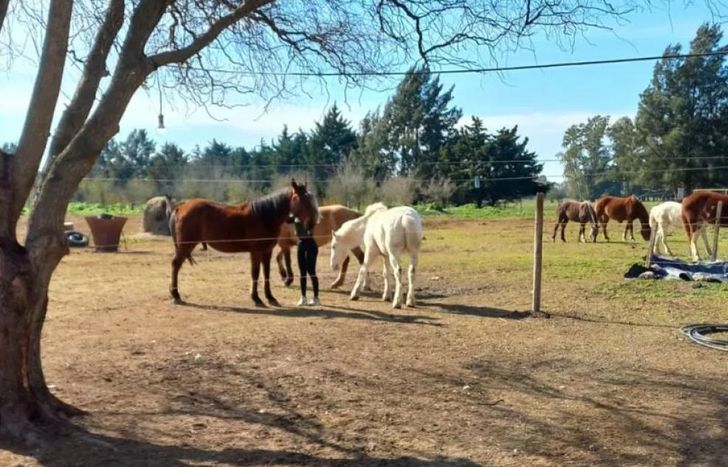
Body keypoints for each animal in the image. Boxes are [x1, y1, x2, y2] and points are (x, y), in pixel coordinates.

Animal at [169, 180, 319, 306]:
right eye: (302, 199)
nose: (312, 222)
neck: (264, 216)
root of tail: (180, 207)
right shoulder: (255, 252)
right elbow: (255, 273)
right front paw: (256, 298)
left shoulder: (267, 251)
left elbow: (266, 273)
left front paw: (270, 298)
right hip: (185, 245)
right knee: (175, 265)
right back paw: (176, 295)